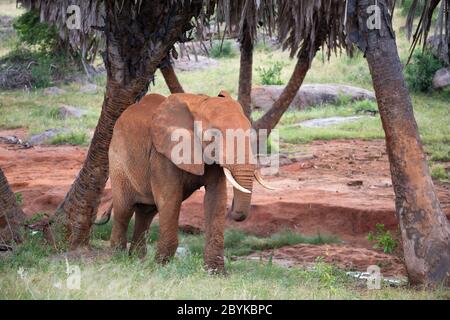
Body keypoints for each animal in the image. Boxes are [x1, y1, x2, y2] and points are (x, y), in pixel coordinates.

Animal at [107, 90, 272, 272]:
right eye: (214, 135)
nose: (236, 214)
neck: (200, 103)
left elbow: (216, 199)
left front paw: (216, 273)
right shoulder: (162, 153)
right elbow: (170, 199)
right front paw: (160, 268)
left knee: (146, 212)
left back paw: (136, 260)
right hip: (118, 161)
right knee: (124, 210)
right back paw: (119, 259)